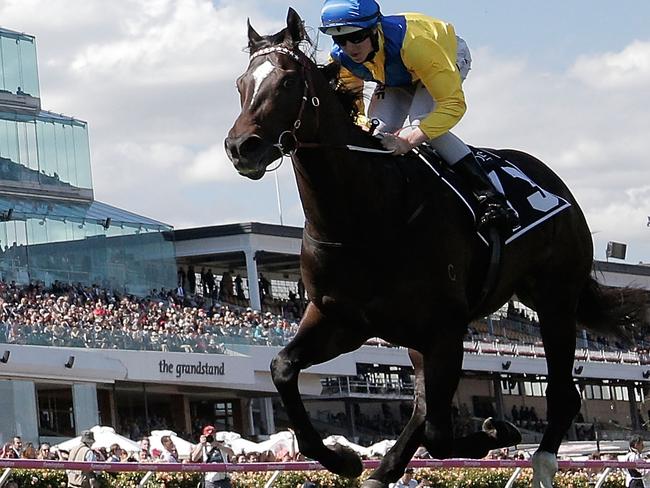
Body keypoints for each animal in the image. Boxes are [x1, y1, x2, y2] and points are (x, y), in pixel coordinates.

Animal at [225, 8, 644, 488]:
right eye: (240, 84)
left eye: (289, 81)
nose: (241, 148)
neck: (365, 214)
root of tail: (556, 186)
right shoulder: (340, 318)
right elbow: (283, 368)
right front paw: (344, 459)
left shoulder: (446, 328)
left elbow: (442, 433)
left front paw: (498, 430)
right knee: (426, 405)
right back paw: (381, 471)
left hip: (556, 302)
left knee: (561, 395)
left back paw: (539, 462)